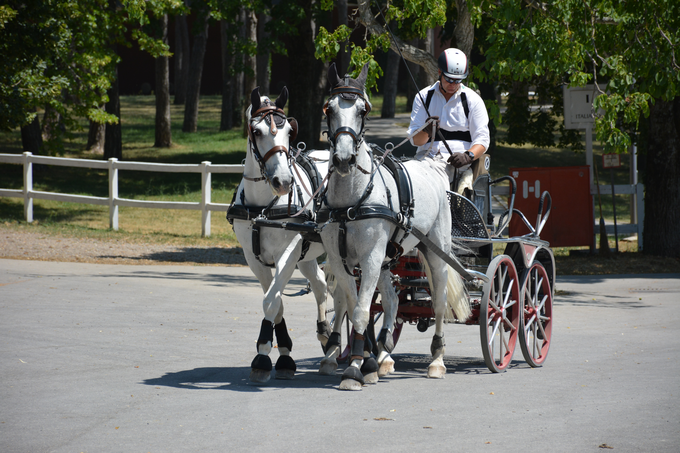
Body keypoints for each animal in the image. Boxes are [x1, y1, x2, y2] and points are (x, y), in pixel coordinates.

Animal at [228, 86, 332, 384]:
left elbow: (270, 302)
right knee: (321, 285)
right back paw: (326, 336)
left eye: (288, 131)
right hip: (306, 256)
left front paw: (264, 357)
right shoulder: (254, 258)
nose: (283, 182)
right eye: (257, 131)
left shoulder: (288, 253)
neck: (263, 207)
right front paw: (283, 354)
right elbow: (275, 303)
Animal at [318, 62, 468, 388]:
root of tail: (435, 165)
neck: (351, 199)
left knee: (438, 303)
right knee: (392, 300)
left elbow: (360, 312)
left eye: (362, 110)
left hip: (435, 251)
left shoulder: (370, 257)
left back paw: (436, 360)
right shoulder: (340, 259)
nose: (344, 159)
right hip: (389, 259)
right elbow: (352, 305)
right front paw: (364, 361)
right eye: (328, 108)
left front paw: (354, 369)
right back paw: (384, 354)